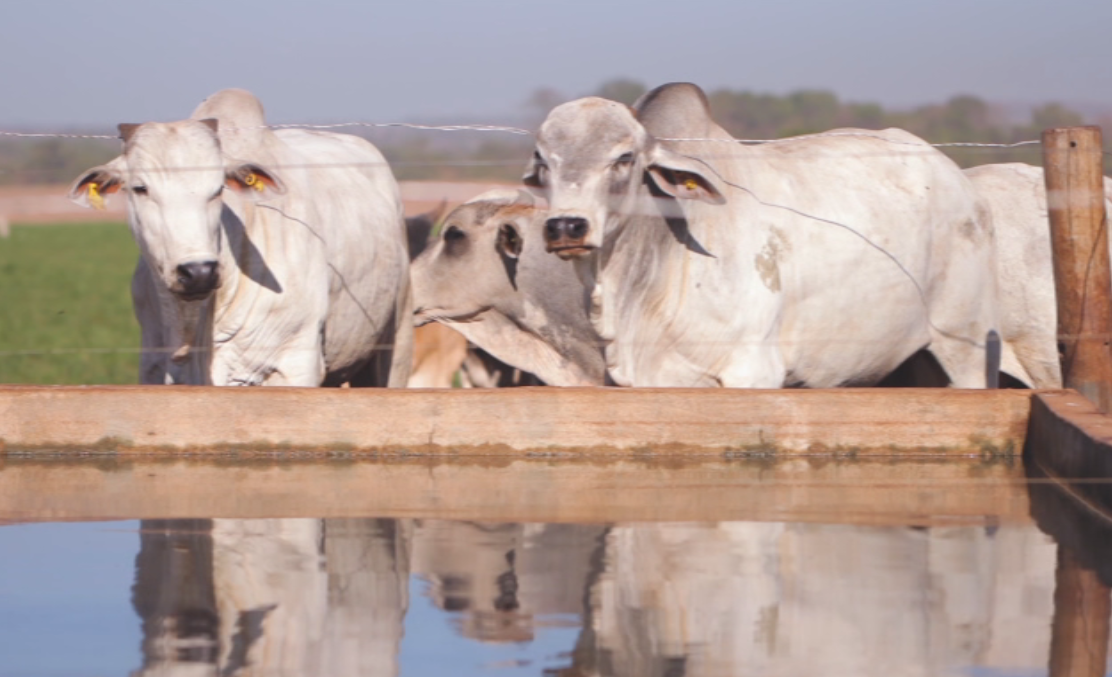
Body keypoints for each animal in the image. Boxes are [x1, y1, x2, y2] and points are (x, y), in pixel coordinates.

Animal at [68, 88, 413, 384]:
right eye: (140, 188)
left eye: (218, 187)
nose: (198, 272)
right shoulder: (153, 366)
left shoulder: (296, 363)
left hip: (394, 346)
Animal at [524, 81, 1005, 389]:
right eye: (544, 160)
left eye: (624, 158)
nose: (566, 225)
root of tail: (958, 179)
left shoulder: (753, 370)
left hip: (965, 347)